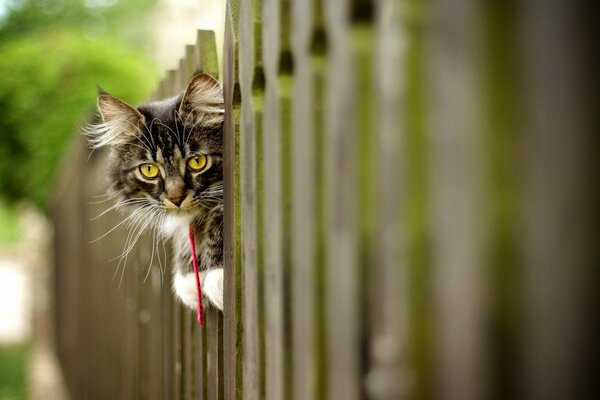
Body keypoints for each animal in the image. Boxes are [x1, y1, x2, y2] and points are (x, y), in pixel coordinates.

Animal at [86, 72, 223, 310]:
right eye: (149, 170)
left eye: (197, 162)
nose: (176, 198)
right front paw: (188, 277)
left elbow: (221, 214)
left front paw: (218, 275)